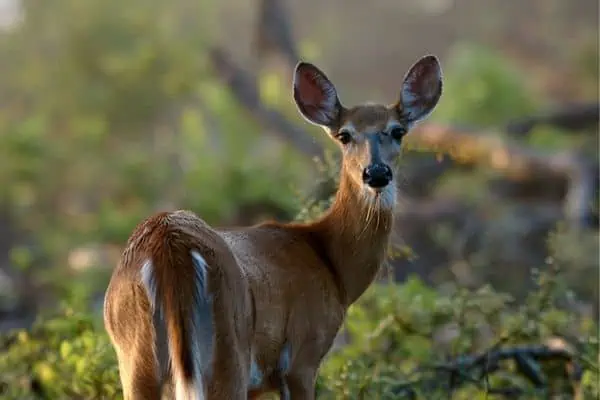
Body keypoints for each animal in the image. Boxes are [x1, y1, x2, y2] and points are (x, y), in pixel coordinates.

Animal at [102, 54, 440, 400]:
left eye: (397, 131)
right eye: (344, 135)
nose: (376, 173)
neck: (330, 262)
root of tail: (168, 248)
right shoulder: (303, 355)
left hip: (135, 359)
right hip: (229, 353)